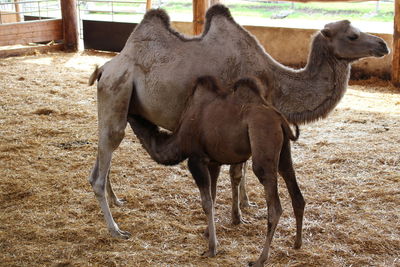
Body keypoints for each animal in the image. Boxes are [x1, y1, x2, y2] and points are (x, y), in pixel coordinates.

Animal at [128, 76, 304, 266]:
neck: (179, 139)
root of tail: (280, 120)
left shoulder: (196, 160)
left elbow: (206, 203)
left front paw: (212, 248)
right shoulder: (213, 163)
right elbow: (212, 197)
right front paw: (207, 233)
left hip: (263, 146)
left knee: (274, 207)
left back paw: (260, 259)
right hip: (284, 150)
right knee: (295, 191)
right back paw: (297, 243)